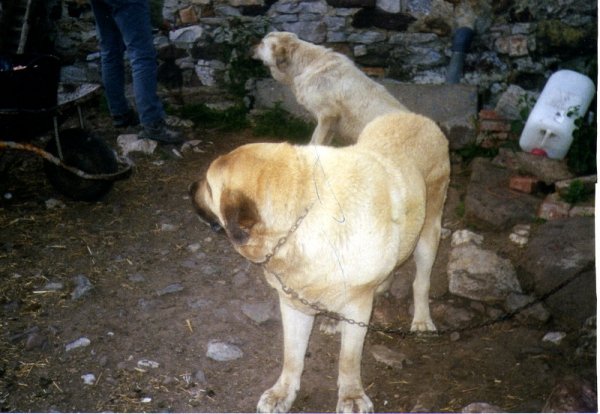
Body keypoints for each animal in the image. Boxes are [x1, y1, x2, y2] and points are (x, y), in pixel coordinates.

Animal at [190, 111, 448, 412]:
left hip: (429, 231)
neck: (301, 214)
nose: (189, 188)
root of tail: (414, 115)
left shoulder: (358, 305)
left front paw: (351, 395)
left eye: (209, 186)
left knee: (421, 281)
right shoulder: (293, 304)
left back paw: (422, 320)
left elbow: (349, 360)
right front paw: (282, 393)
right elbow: (292, 357)